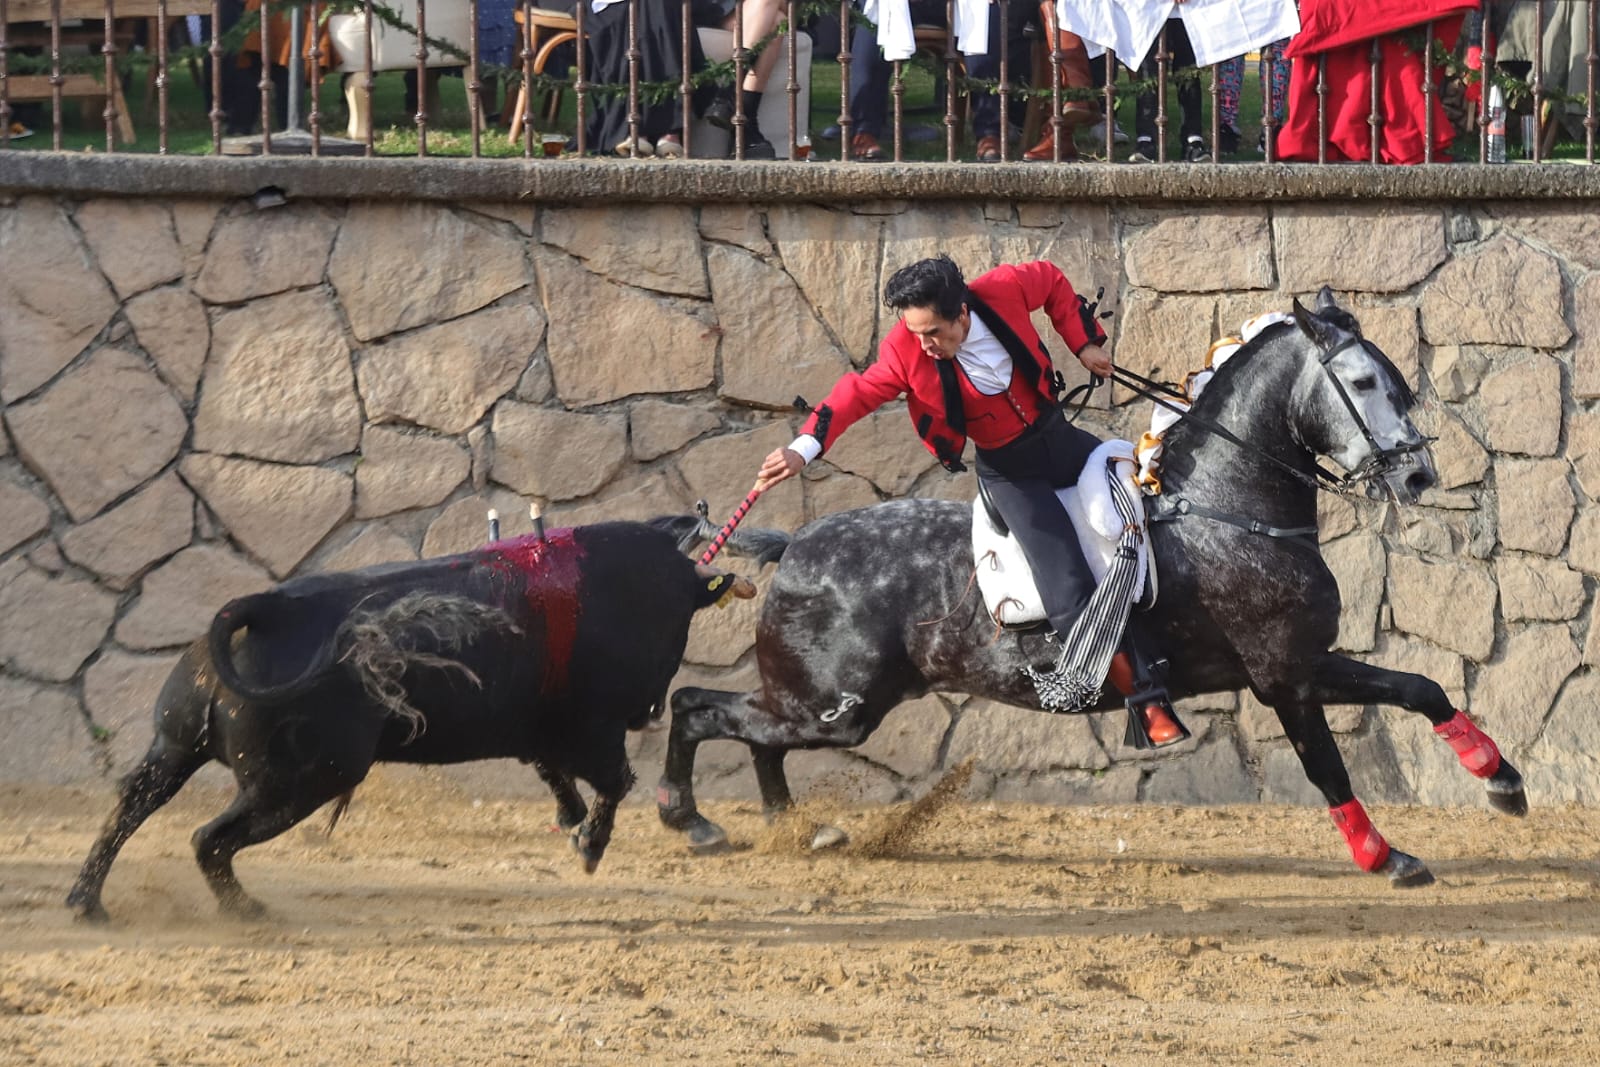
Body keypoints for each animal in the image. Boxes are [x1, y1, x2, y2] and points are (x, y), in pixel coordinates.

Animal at [68, 521, 755, 921]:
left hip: (174, 747)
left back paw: (87, 902)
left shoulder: (538, 731)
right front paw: (588, 845)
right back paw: (246, 911)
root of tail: (262, 608)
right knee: (207, 838)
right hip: (299, 781)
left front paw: (570, 823)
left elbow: (556, 776)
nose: (651, 707)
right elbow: (612, 783)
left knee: (128, 808)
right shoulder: (594, 727)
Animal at [652, 287, 1523, 889]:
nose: (1418, 473)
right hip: (836, 706)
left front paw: (1501, 779)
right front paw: (1387, 855)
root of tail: (795, 542)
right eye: (1364, 381)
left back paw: (787, 824)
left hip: (825, 707)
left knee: (749, 731)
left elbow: (1421, 686)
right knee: (699, 706)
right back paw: (688, 816)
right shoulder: (1284, 675)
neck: (1227, 506)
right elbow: (1329, 765)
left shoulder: (1308, 662)